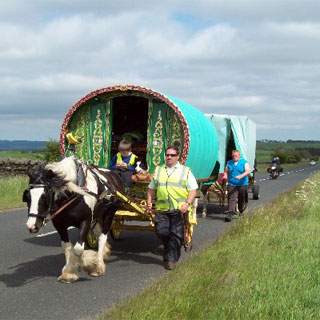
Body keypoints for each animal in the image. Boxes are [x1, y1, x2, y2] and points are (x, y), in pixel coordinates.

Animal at [22, 156, 124, 284]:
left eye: (44, 197)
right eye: (27, 197)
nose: (31, 226)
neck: (74, 193)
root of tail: (113, 174)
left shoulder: (86, 221)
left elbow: (78, 249)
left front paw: (89, 263)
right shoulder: (60, 225)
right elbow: (67, 247)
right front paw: (69, 272)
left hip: (109, 214)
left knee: (102, 237)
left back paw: (99, 265)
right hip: (97, 215)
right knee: (98, 232)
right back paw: (104, 252)